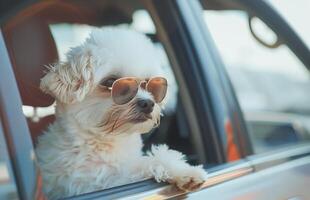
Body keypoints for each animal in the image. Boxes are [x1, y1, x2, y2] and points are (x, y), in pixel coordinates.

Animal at [35, 27, 207, 199]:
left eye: (149, 83)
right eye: (111, 82)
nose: (148, 103)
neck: (106, 141)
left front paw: (183, 169)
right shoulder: (90, 183)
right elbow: (138, 167)